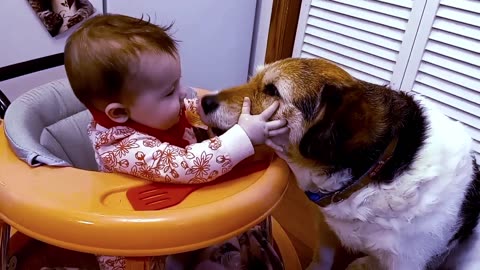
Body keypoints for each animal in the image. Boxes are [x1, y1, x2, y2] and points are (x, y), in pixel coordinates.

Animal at [198, 58, 480, 268]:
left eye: (272, 91)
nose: (204, 101)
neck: (371, 173)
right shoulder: (326, 227)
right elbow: (322, 259)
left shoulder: (405, 261)